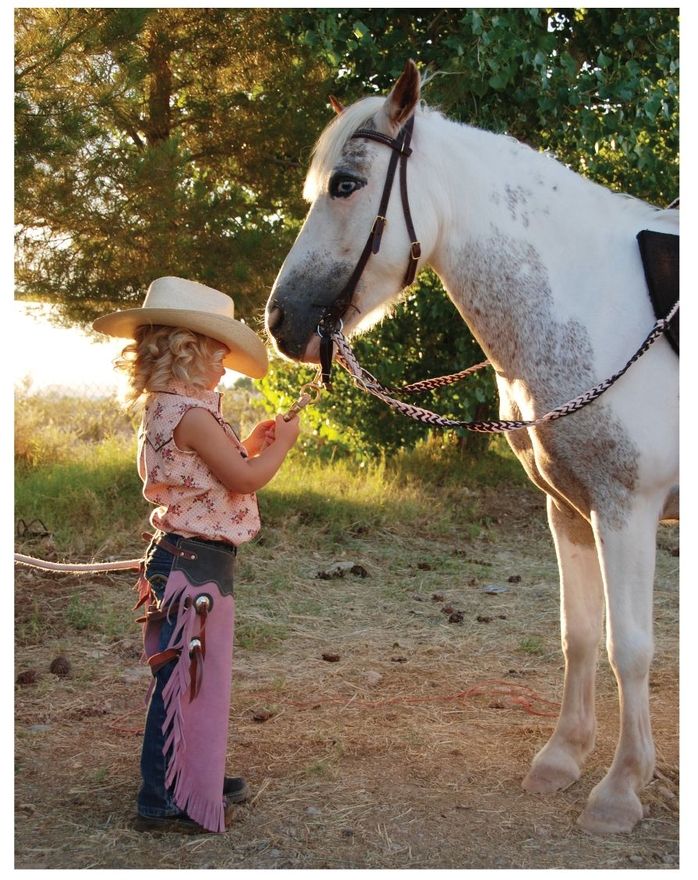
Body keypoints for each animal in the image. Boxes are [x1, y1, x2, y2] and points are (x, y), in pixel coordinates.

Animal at [264, 62, 676, 832]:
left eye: (346, 184)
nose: (281, 322)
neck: (604, 305)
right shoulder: (569, 510)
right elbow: (581, 634)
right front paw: (562, 757)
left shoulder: (626, 509)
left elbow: (629, 648)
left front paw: (621, 788)